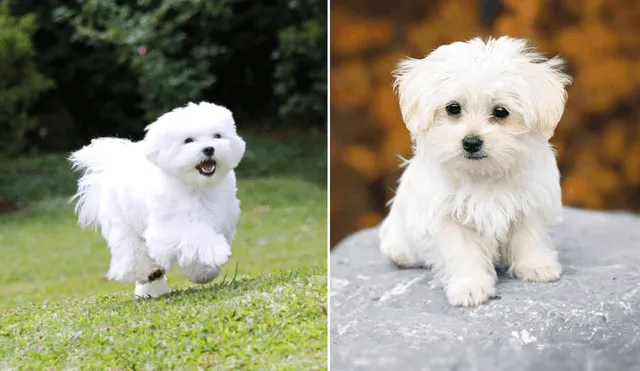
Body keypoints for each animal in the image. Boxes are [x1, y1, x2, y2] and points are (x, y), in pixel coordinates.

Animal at [69, 101, 245, 300]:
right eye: (188, 140)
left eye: (217, 136)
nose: (209, 149)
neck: (198, 187)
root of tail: (113, 164)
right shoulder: (168, 230)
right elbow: (195, 237)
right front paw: (217, 252)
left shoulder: (223, 221)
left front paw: (203, 272)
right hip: (124, 226)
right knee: (132, 257)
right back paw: (149, 273)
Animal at [378, 36, 572, 306]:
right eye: (453, 108)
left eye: (501, 112)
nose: (471, 142)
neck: (483, 174)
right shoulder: (447, 217)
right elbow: (462, 252)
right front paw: (469, 286)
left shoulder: (529, 202)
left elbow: (528, 236)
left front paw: (536, 266)